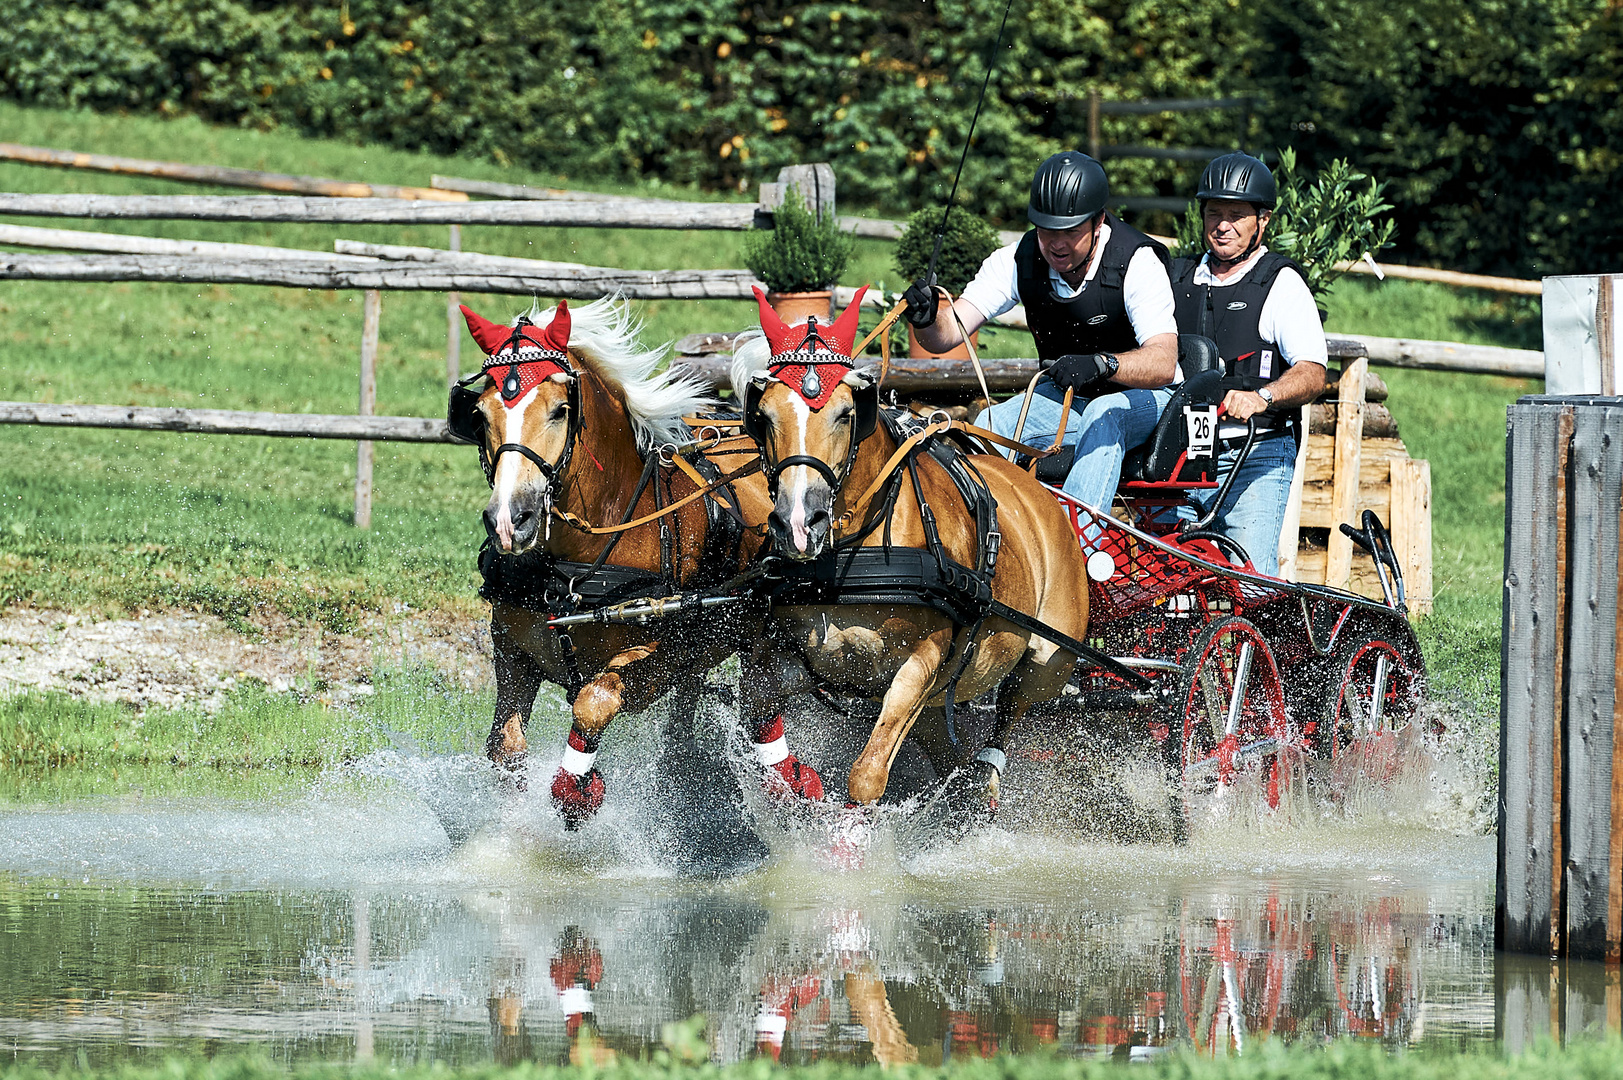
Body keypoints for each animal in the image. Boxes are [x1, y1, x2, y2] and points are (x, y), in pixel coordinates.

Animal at [444, 298, 824, 828]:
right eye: (479, 413)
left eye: (560, 410)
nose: (509, 520)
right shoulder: (511, 650)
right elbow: (506, 749)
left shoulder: (655, 658)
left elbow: (592, 701)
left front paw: (576, 791)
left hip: (758, 632)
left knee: (761, 709)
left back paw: (792, 785)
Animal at [733, 285, 1090, 808]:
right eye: (763, 415)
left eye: (847, 414)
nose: (798, 524)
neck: (854, 557)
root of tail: (1035, 484)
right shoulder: (793, 653)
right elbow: (756, 714)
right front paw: (797, 784)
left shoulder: (923, 660)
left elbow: (867, 774)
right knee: (951, 754)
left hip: (1049, 662)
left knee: (1011, 711)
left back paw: (989, 778)